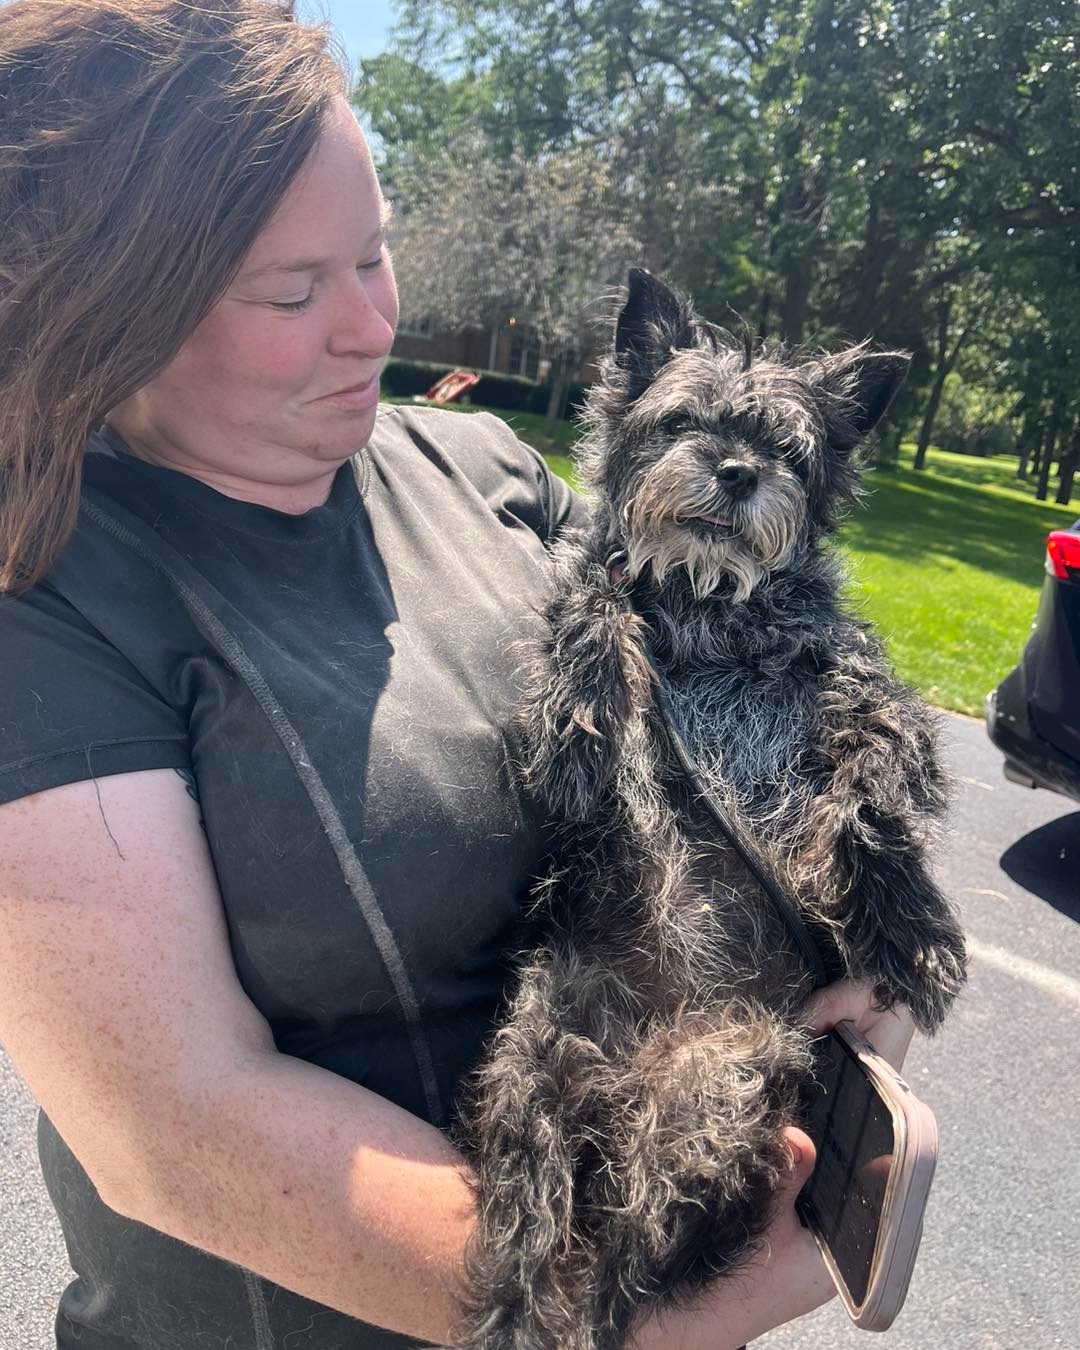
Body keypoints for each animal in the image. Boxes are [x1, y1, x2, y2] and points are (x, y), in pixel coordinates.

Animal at [450, 271, 966, 1350]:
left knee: (623, 1268)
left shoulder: (850, 675)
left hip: (710, 1109)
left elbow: (879, 755)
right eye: (684, 419)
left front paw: (907, 918)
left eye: (787, 450)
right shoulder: (575, 716)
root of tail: (624, 1084)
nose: (735, 472)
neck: (706, 607)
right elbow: (594, 608)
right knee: (536, 1239)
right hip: (533, 1080)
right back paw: (515, 1319)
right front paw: (600, 653)